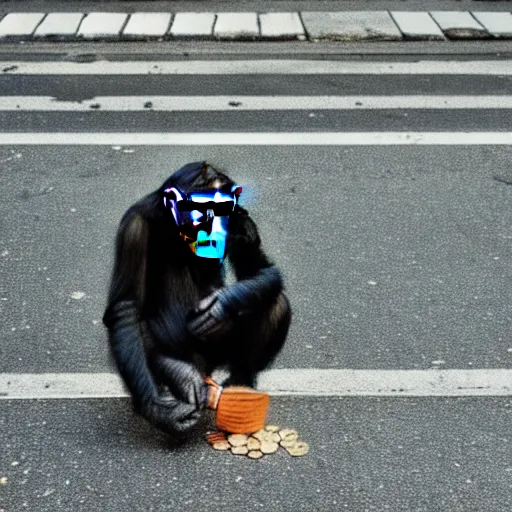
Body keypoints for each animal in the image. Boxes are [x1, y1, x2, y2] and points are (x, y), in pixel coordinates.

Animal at [102, 162, 290, 434]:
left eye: (223, 208)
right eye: (203, 208)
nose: (215, 225)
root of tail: (204, 367)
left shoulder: (241, 221)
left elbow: (259, 269)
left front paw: (222, 303)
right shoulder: (133, 228)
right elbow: (126, 307)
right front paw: (158, 409)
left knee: (276, 303)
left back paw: (240, 384)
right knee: (137, 328)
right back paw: (178, 373)